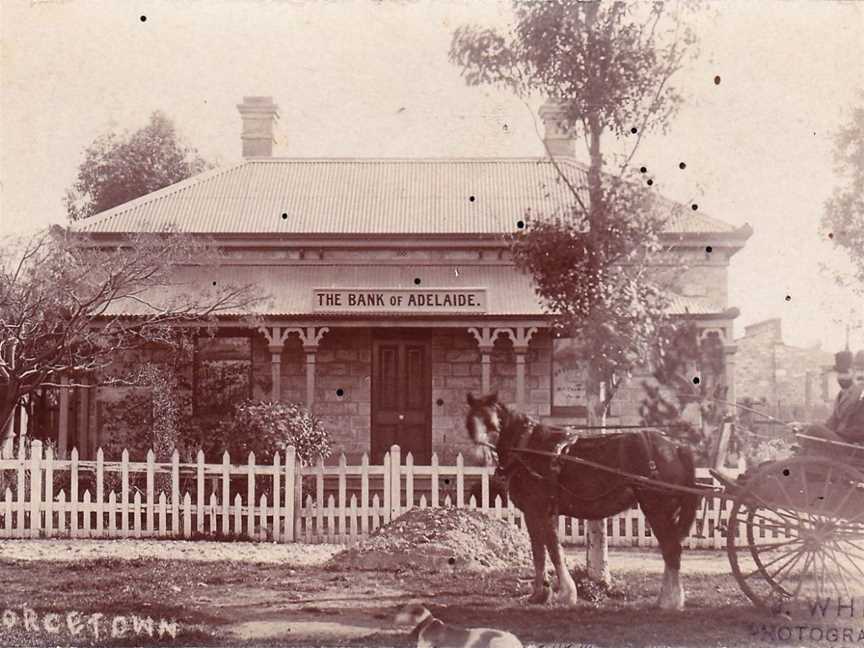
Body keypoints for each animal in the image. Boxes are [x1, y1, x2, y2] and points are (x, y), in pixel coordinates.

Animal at [466, 392, 704, 612]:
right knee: (670, 549)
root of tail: (676, 447)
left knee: (671, 550)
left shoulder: (539, 510)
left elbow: (552, 550)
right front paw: (539, 594)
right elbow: (540, 552)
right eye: (470, 420)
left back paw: (670, 601)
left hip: (657, 508)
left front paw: (564, 594)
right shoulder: (536, 513)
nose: (477, 455)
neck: (527, 448)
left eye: (492, 420)